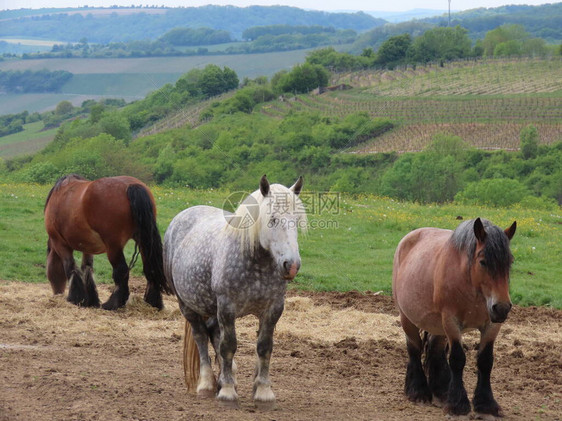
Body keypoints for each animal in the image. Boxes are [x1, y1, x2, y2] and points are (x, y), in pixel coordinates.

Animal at [44, 173, 171, 308]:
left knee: (121, 271)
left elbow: (71, 267)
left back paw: (113, 303)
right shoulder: (88, 247)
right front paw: (90, 300)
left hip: (114, 247)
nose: (57, 293)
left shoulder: (60, 244)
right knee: (150, 269)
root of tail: (132, 186)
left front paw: (76, 298)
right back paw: (153, 302)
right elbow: (87, 268)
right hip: (144, 242)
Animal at [162, 174, 306, 406]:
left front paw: (263, 391)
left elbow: (264, 347)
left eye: (297, 221)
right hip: (188, 306)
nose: (291, 265)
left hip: (211, 307)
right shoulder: (227, 307)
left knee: (213, 332)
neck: (257, 264)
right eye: (273, 219)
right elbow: (228, 346)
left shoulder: (273, 308)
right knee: (201, 336)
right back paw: (207, 384)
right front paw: (228, 392)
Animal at [392, 217, 516, 416]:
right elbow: (458, 359)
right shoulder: (451, 321)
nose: (502, 308)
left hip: (438, 326)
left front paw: (486, 404)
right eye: (483, 261)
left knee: (435, 351)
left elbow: (485, 361)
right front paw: (458, 404)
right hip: (407, 318)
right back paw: (418, 391)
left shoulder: (492, 325)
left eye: (509, 262)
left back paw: (442, 391)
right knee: (414, 349)